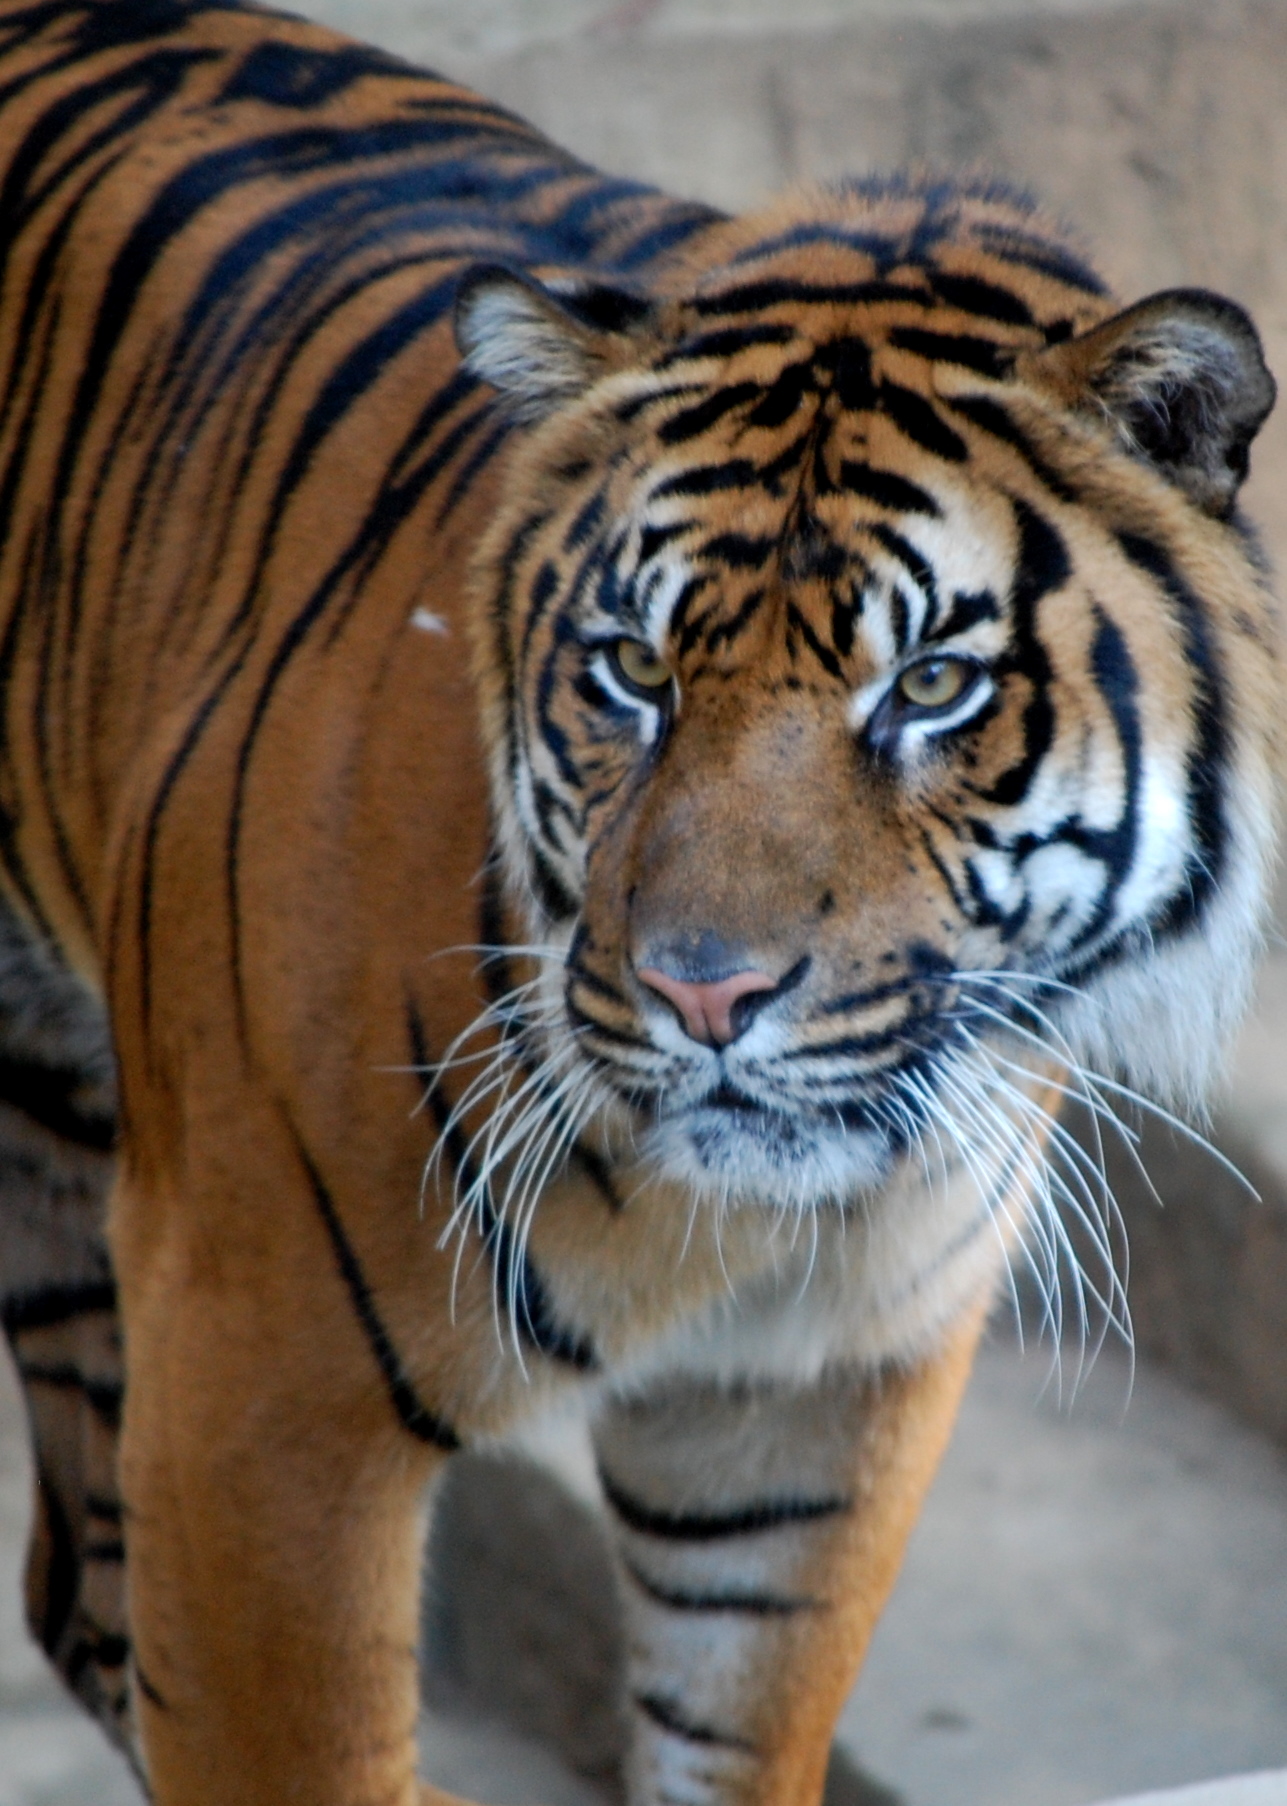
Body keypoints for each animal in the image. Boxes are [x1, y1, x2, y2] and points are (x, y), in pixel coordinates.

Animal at [0, 1, 1276, 1803]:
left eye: (930, 685)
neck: (733, 1222)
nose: (704, 996)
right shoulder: (257, 1387)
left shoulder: (804, 1409)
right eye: (632, 669)